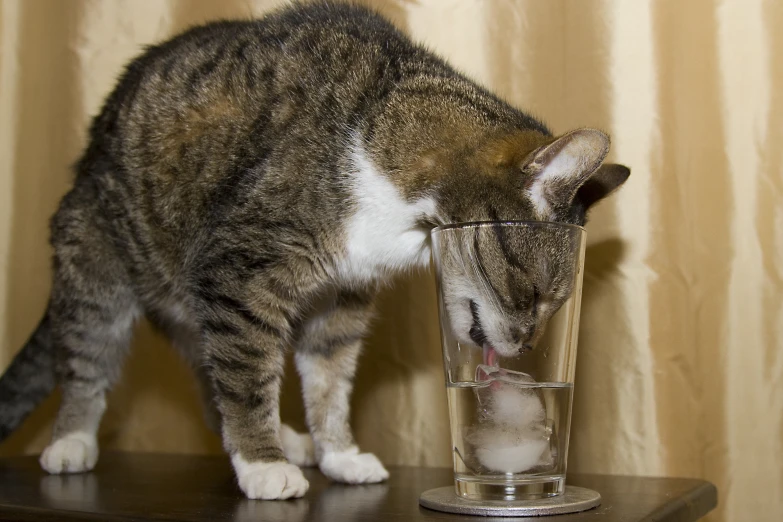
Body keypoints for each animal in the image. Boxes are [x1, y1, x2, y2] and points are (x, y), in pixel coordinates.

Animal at [0, 0, 632, 498]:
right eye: (532, 293)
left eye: (553, 305)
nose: (526, 344)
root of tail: (87, 154)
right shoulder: (240, 270)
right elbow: (249, 373)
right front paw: (261, 465)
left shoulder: (341, 296)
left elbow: (330, 380)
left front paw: (339, 454)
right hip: (96, 261)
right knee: (92, 354)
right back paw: (72, 441)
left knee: (210, 376)